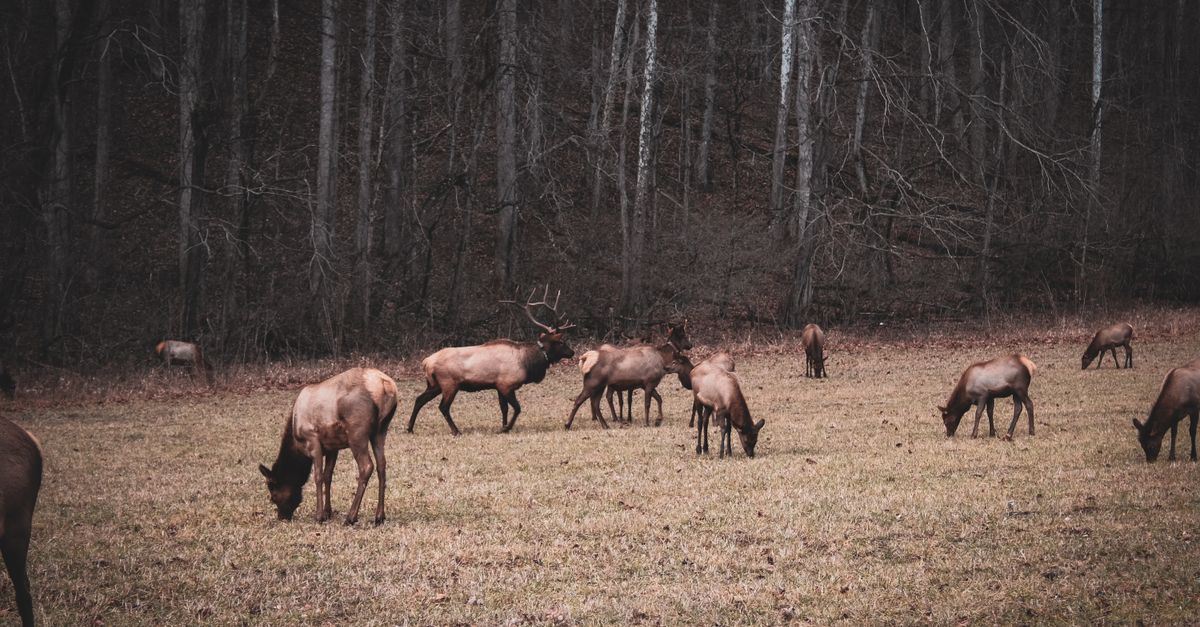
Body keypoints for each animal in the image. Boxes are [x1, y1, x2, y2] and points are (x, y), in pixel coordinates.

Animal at [259, 368, 399, 525]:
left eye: (273, 496)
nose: (282, 517)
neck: (297, 445)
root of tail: (386, 385)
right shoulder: (332, 447)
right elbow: (328, 476)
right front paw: (327, 512)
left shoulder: (313, 440)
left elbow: (318, 476)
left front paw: (319, 515)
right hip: (380, 431)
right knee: (382, 465)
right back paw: (379, 516)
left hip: (357, 432)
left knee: (367, 466)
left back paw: (351, 517)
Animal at [408, 287, 576, 435]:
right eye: (561, 342)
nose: (572, 352)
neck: (527, 363)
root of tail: (426, 362)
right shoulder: (506, 385)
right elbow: (517, 408)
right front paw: (506, 428)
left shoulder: (498, 385)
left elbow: (504, 409)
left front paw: (503, 426)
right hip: (449, 383)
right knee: (443, 407)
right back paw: (456, 431)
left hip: (434, 384)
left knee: (419, 399)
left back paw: (410, 428)